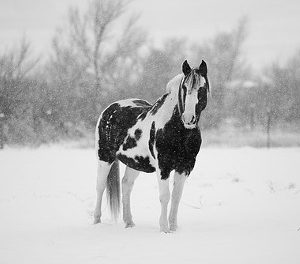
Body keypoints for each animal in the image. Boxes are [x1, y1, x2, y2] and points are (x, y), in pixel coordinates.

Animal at [94, 59, 209, 233]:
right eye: (184, 88)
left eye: (202, 88)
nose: (189, 118)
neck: (177, 130)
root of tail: (109, 109)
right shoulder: (163, 167)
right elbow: (165, 196)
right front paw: (164, 229)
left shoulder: (185, 167)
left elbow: (176, 196)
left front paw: (174, 228)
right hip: (104, 157)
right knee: (100, 186)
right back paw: (96, 222)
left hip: (134, 163)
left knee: (126, 185)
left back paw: (129, 223)